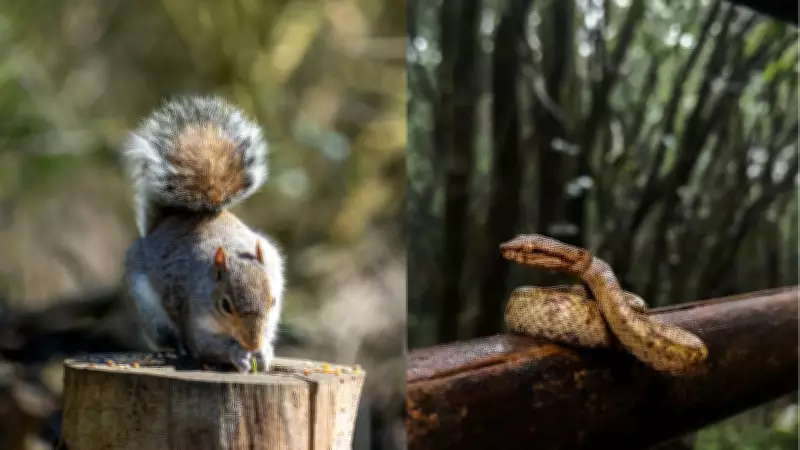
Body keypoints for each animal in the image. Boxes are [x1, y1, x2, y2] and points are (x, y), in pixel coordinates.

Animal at [121, 95, 285, 372]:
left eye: (273, 301)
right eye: (225, 305)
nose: (252, 344)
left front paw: (263, 353)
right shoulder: (193, 317)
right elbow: (205, 347)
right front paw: (237, 354)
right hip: (149, 309)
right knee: (172, 338)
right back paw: (176, 349)